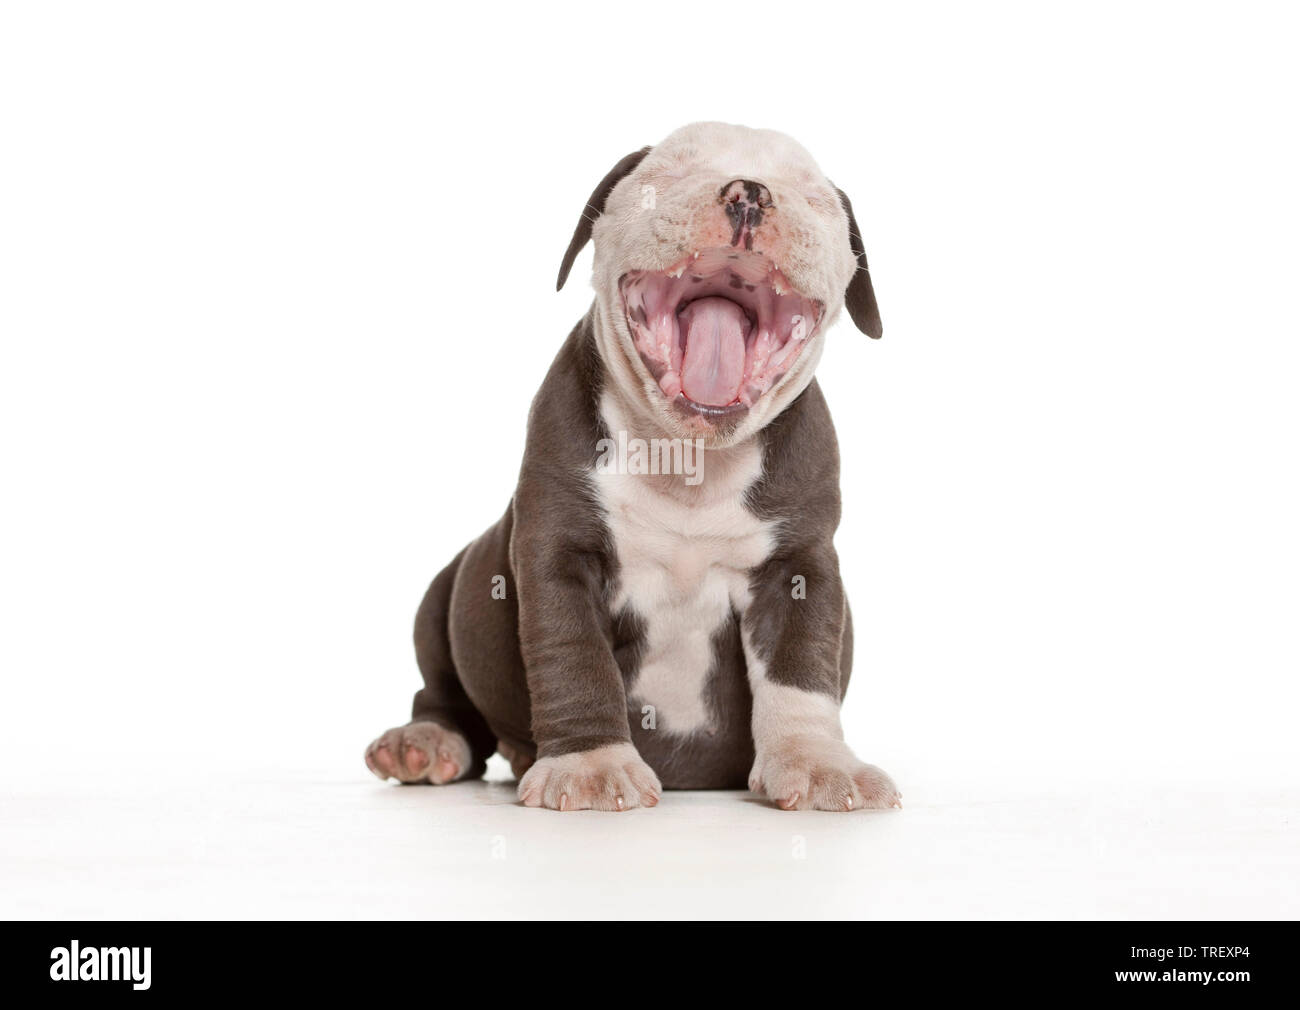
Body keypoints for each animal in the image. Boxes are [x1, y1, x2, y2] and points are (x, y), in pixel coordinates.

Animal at [361, 120, 899, 811]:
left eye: (814, 200)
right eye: (667, 177)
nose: (749, 194)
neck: (689, 461)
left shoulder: (799, 564)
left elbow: (801, 669)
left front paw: (820, 765)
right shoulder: (557, 551)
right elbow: (575, 658)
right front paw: (589, 767)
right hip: (443, 600)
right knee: (441, 691)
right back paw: (424, 741)